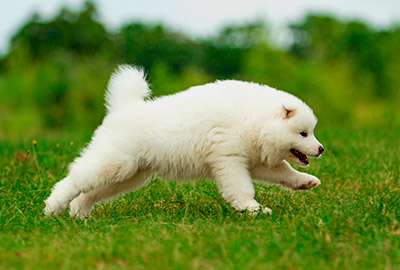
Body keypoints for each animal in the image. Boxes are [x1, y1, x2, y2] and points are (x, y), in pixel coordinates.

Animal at [44, 65, 324, 217]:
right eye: (303, 133)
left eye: (311, 132)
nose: (321, 149)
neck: (254, 119)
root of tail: (122, 109)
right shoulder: (229, 160)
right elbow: (242, 189)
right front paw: (253, 210)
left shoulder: (255, 162)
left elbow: (284, 173)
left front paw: (306, 181)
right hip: (114, 162)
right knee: (74, 179)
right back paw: (52, 208)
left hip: (128, 175)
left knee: (90, 192)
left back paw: (79, 214)